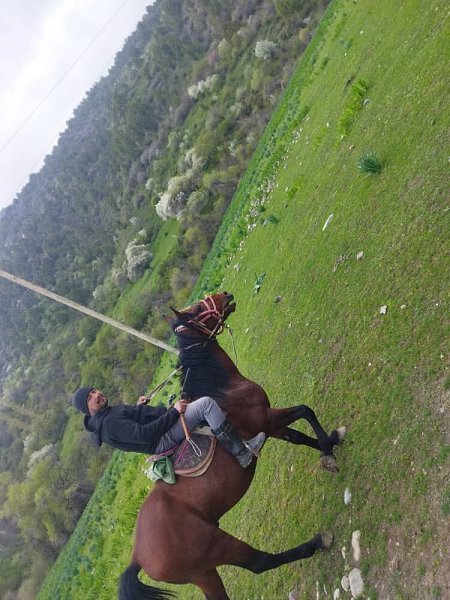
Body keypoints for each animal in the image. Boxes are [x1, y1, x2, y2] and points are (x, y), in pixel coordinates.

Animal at [119, 292, 345, 600]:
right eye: (198, 308)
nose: (225, 295)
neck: (224, 389)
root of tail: (137, 556)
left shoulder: (269, 426)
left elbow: (298, 436)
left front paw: (329, 444)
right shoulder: (266, 419)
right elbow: (305, 411)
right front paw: (328, 451)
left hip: (202, 573)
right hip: (217, 546)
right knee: (260, 562)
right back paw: (318, 541)